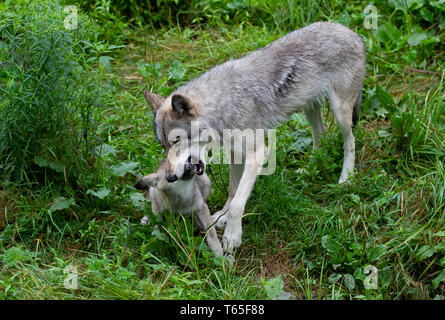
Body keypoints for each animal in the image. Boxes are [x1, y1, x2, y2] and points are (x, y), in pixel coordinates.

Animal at [141, 21, 364, 254]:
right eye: (163, 146)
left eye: (177, 140)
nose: (170, 177)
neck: (225, 105)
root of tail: (352, 32)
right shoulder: (235, 154)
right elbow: (232, 191)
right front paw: (222, 217)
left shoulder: (258, 153)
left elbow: (238, 202)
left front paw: (231, 236)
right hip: (309, 108)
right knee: (320, 135)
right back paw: (310, 169)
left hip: (340, 113)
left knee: (350, 142)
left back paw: (346, 178)